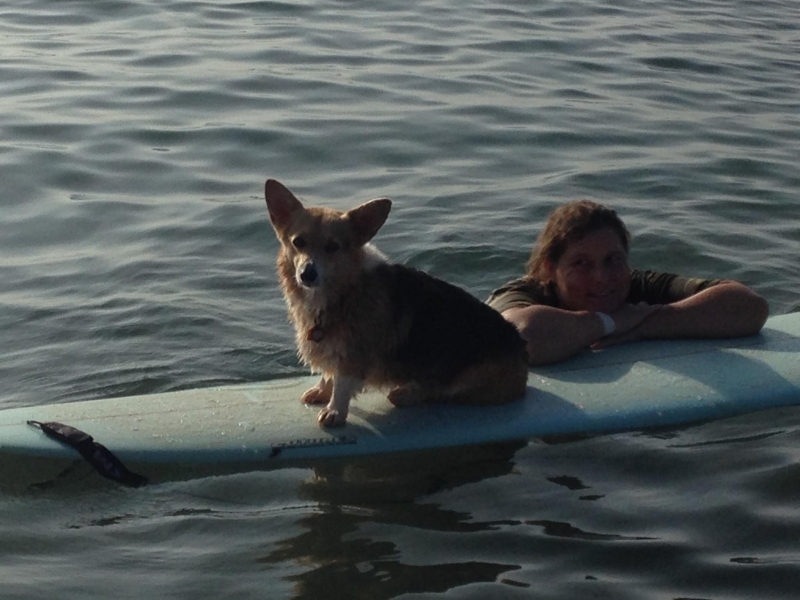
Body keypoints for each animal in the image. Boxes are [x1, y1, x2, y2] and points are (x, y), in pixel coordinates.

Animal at [264, 178, 529, 427]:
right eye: (298, 242)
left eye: (333, 247)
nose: (307, 274)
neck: (341, 289)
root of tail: (521, 350)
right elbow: (329, 374)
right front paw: (321, 391)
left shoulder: (354, 352)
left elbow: (342, 382)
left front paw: (334, 411)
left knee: (439, 392)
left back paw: (408, 392)